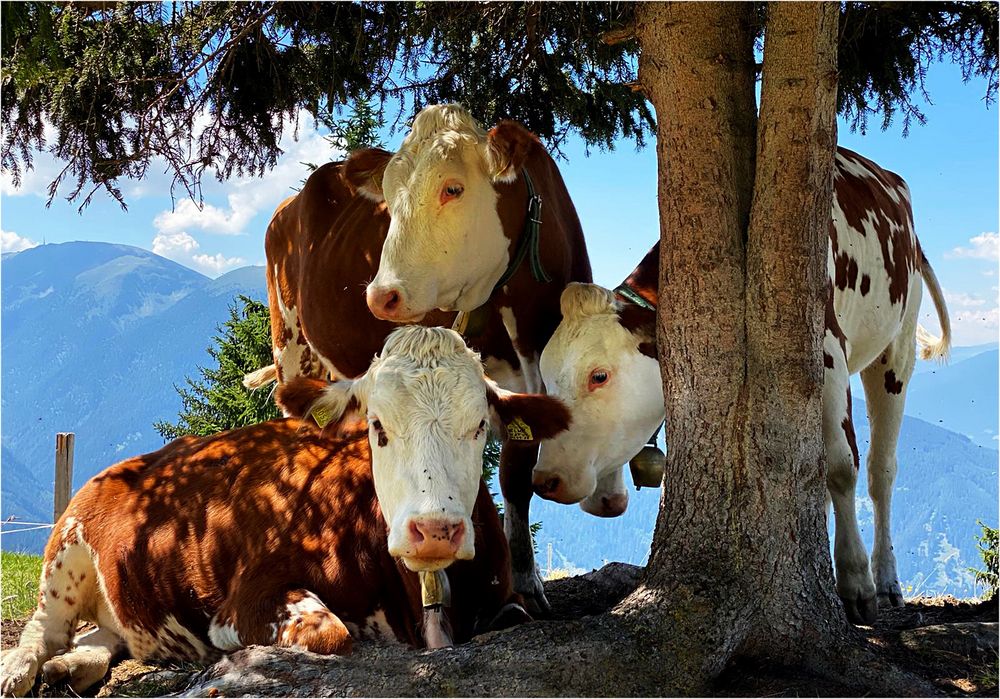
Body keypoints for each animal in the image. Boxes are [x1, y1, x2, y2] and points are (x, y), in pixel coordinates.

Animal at [0, 326, 568, 696]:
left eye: (480, 426)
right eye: (377, 426)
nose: (434, 530)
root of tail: (130, 463)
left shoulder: (500, 601)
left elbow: (514, 614)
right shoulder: (245, 598)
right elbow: (331, 633)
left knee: (107, 633)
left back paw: (74, 665)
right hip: (65, 548)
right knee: (44, 630)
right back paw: (20, 670)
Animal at [254, 102, 592, 612]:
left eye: (453, 188)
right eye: (390, 201)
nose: (381, 296)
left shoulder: (530, 386)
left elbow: (515, 475)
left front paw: (526, 582)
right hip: (290, 343)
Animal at [536, 146, 948, 624]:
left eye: (599, 375)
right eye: (546, 377)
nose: (545, 479)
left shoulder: (828, 351)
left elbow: (843, 466)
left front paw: (856, 583)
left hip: (896, 348)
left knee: (882, 471)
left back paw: (886, 581)